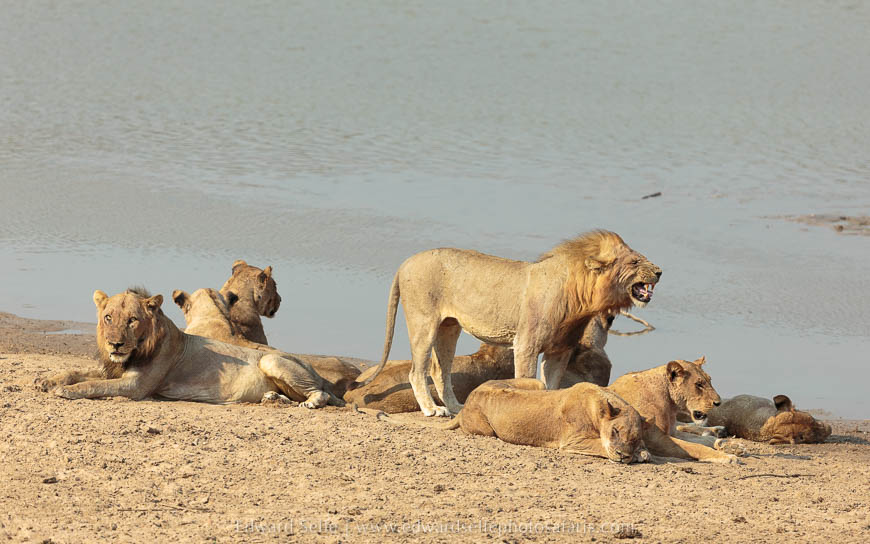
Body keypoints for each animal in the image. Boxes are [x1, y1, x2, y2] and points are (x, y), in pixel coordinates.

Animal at [34, 288, 343, 408]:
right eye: (108, 317)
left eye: (132, 320)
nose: (115, 343)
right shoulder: (114, 369)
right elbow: (76, 371)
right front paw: (47, 380)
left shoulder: (136, 386)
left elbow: (93, 385)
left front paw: (65, 390)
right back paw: (273, 398)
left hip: (271, 361)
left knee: (323, 394)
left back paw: (309, 402)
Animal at [429, 378, 650, 463]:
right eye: (615, 431)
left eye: (635, 437)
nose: (623, 455)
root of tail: (467, 401)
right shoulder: (573, 441)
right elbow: (601, 447)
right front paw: (634, 456)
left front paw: (641, 452)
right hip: (486, 431)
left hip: (538, 383)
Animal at [608, 357, 740, 463]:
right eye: (698, 384)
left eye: (709, 380)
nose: (718, 403)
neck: (671, 405)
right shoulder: (655, 439)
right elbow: (695, 446)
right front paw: (727, 456)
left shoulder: (671, 433)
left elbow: (702, 440)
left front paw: (728, 446)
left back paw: (719, 431)